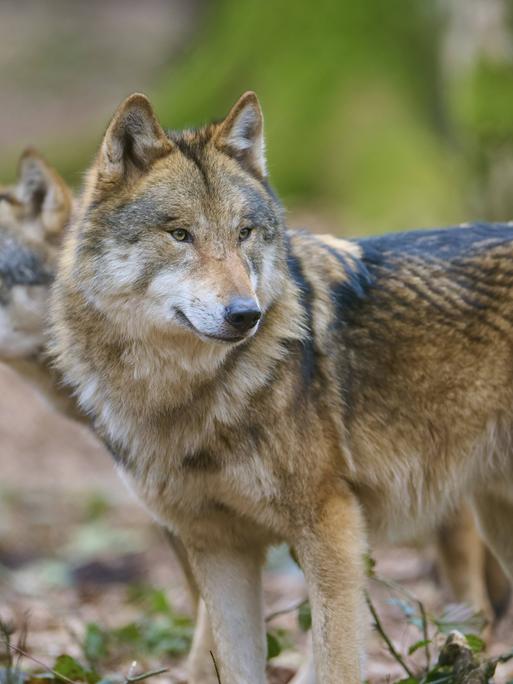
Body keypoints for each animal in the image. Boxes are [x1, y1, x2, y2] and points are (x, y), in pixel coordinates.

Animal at [50, 92, 513, 683]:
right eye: (180, 234)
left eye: (244, 233)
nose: (245, 314)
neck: (186, 397)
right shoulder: (220, 549)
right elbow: (236, 664)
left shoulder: (332, 527)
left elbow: (336, 661)